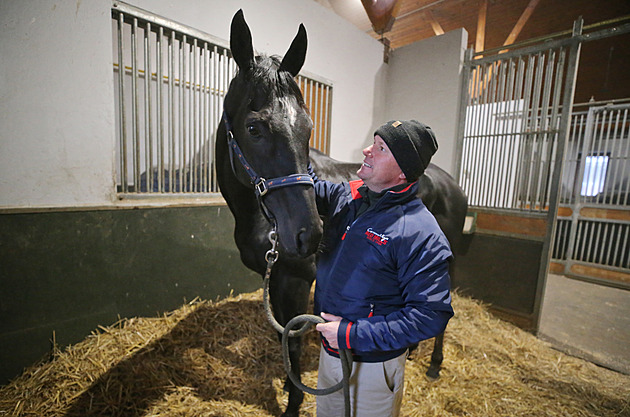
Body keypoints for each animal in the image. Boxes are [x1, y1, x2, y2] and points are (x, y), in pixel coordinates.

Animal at [217, 10, 470, 416]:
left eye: (307, 127)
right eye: (253, 127)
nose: (308, 234)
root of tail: (449, 182)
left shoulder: (295, 280)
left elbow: (293, 341)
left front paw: (293, 402)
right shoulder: (274, 279)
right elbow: (282, 334)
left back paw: (433, 365)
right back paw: (411, 351)